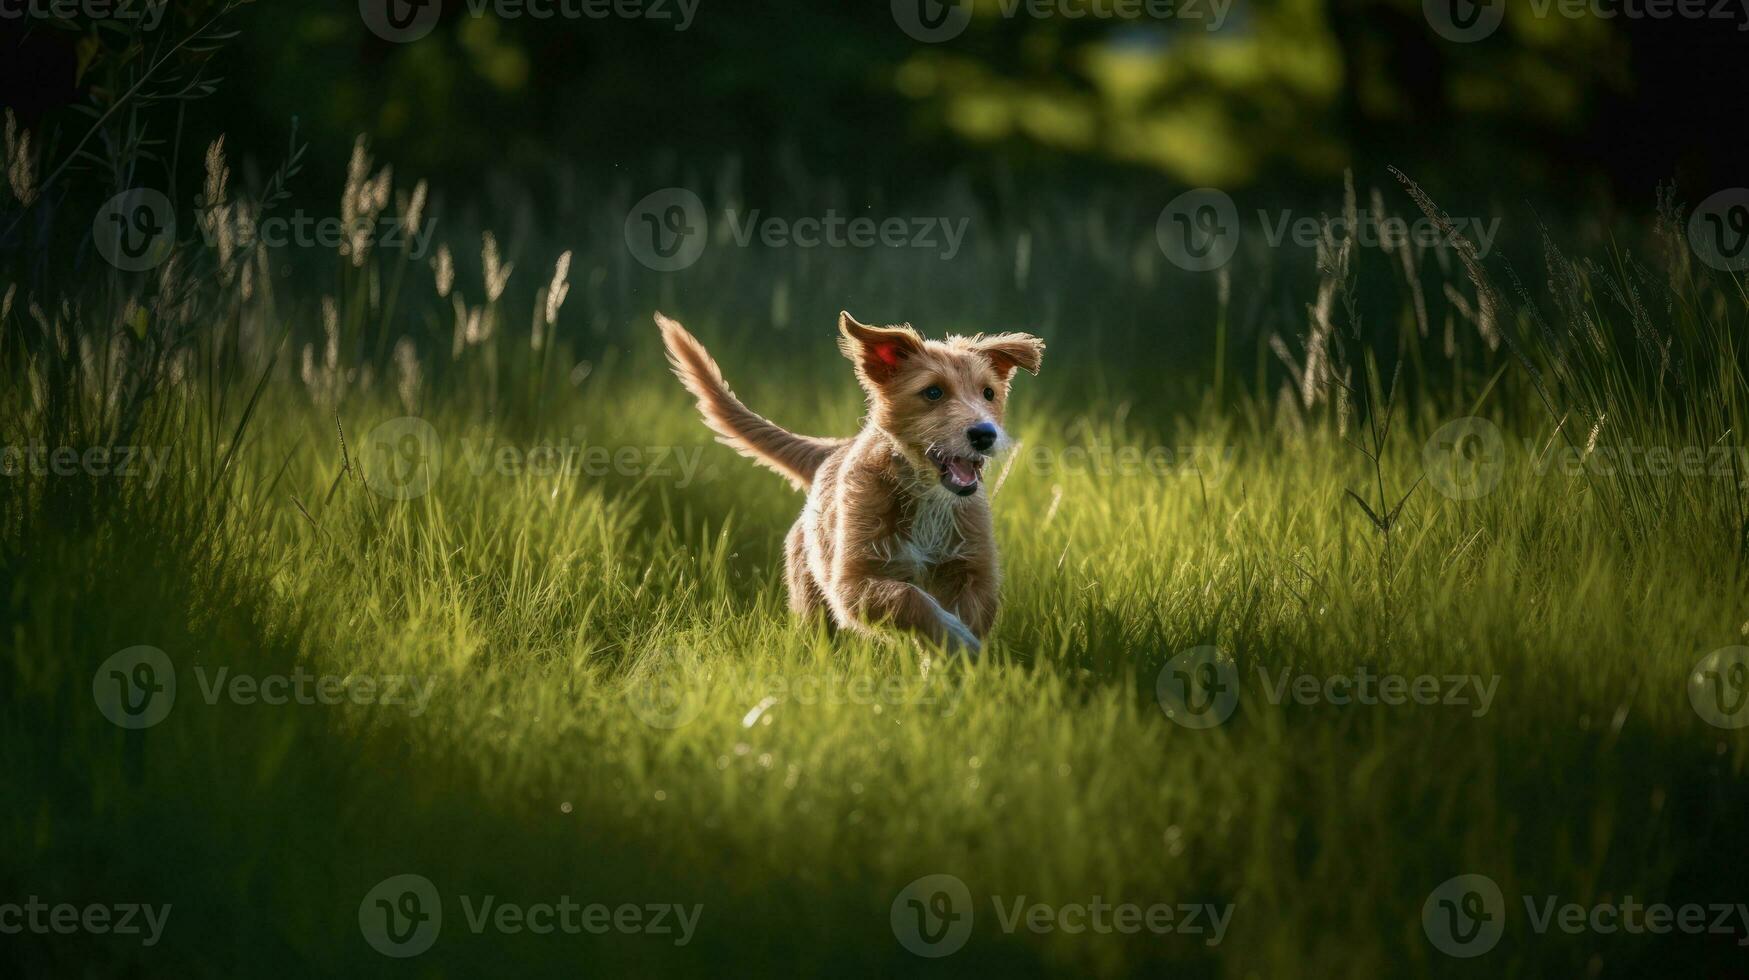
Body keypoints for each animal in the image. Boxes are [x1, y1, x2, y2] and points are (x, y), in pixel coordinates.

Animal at [654, 309, 1035, 654]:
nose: (985, 434)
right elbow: (908, 597)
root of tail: (833, 449)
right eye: (933, 393)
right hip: (811, 600)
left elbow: (968, 613)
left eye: (988, 393)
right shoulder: (851, 583)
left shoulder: (975, 573)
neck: (926, 496)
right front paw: (954, 636)